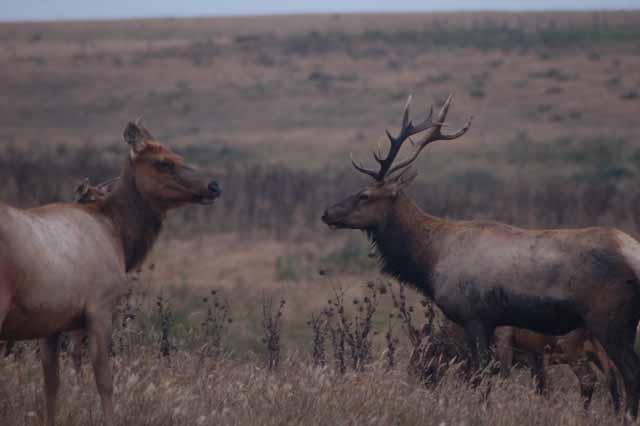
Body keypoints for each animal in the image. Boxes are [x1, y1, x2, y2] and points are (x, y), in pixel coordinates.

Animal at [0, 120, 221, 426]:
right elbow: (104, 379)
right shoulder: (100, 306)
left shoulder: (52, 320)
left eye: (179, 156)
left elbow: (51, 384)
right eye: (163, 162)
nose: (214, 185)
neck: (117, 235)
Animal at [322, 95, 640, 418]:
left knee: (630, 374)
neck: (430, 260)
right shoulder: (492, 323)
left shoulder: (474, 315)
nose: (327, 213)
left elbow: (480, 376)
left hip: (609, 318)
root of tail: (633, 251)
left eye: (364, 195)